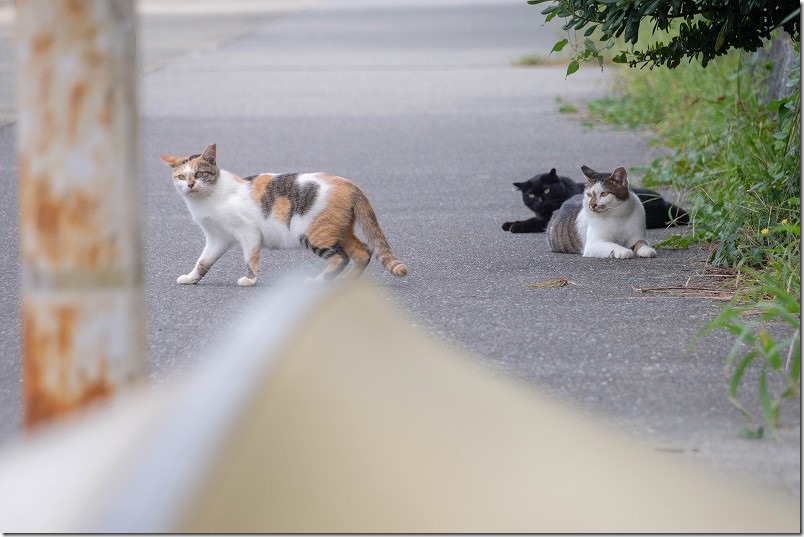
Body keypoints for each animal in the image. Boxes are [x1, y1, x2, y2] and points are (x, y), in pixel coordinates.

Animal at [160, 142, 408, 284]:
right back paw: (347, 282)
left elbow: (250, 258)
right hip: (339, 230)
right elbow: (203, 262)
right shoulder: (217, 238)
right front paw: (191, 278)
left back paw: (318, 281)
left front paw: (250, 280)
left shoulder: (248, 232)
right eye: (181, 177)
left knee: (341, 258)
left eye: (200, 174)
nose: (190, 185)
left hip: (311, 232)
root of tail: (349, 184)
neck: (206, 199)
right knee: (363, 251)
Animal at [500, 168, 688, 232]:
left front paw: (515, 226)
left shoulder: (547, 220)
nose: (539, 200)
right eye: (531, 194)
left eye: (547, 190)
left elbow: (532, 222)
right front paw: (509, 223)